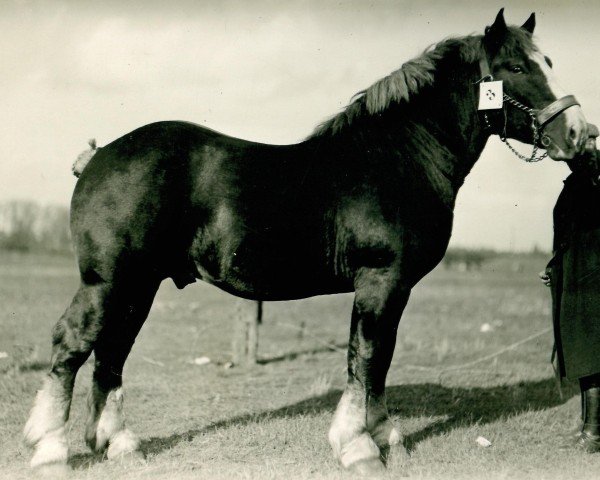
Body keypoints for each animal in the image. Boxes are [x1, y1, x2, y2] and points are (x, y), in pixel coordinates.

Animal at [25, 9, 588, 474]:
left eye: (547, 61)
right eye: (515, 66)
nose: (580, 133)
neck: (396, 157)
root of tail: (98, 155)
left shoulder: (397, 288)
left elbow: (380, 358)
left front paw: (385, 436)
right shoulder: (381, 280)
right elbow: (366, 355)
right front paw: (359, 447)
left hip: (139, 285)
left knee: (112, 351)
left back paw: (119, 444)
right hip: (108, 282)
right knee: (73, 342)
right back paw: (49, 449)